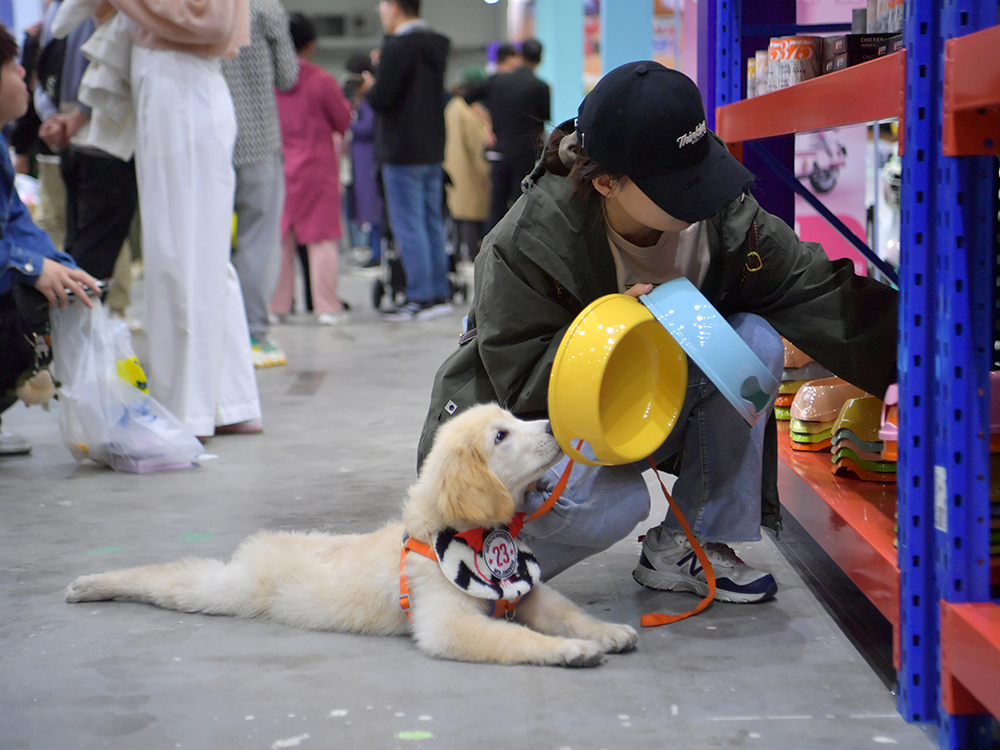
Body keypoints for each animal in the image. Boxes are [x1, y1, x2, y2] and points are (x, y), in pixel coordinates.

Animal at [66, 406, 636, 668]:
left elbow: (566, 611)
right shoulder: (447, 623)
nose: (553, 427)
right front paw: (569, 650)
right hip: (230, 589)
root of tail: (266, 543)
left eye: (514, 417)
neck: (462, 536)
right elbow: (514, 638)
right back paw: (92, 583)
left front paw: (606, 632)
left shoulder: (528, 592)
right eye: (501, 436)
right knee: (172, 578)